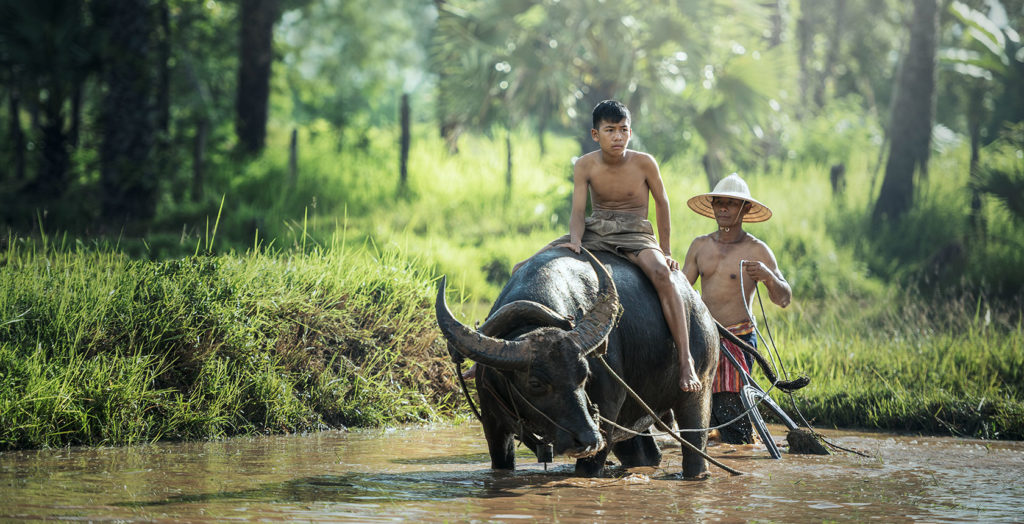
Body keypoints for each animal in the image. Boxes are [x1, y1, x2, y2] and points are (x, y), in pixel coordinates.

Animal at [436, 247, 794, 476]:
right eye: (535, 383)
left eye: (584, 375)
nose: (587, 439)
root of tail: (701, 309)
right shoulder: (493, 426)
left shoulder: (606, 416)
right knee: (644, 453)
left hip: (699, 390)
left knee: (696, 449)